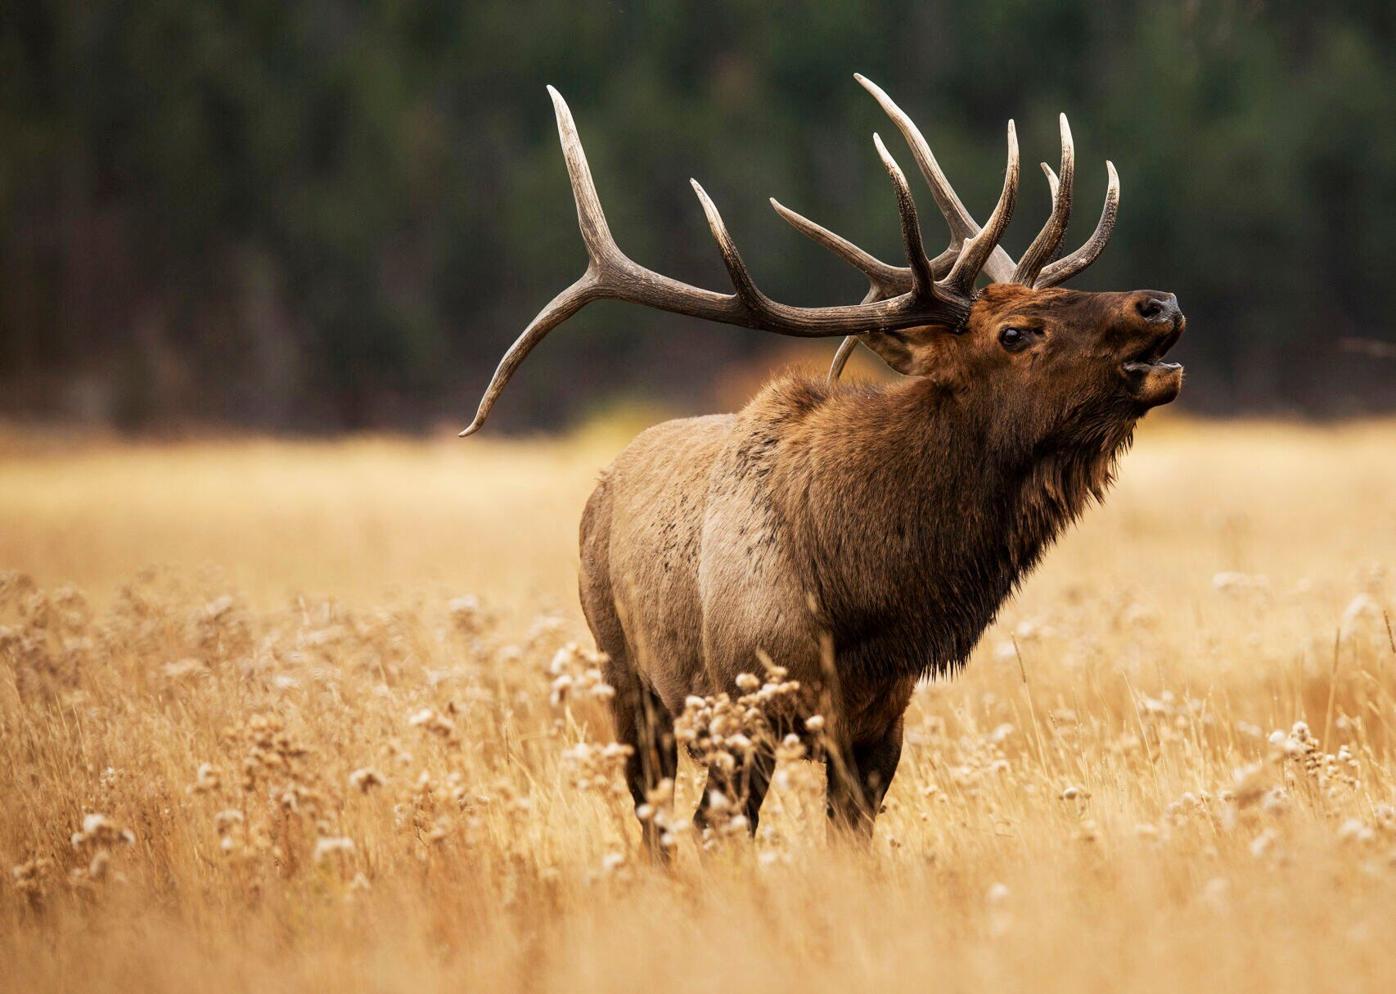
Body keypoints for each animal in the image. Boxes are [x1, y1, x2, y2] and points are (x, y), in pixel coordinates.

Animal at [461, 75, 1185, 855]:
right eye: (1015, 333)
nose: (1160, 302)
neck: (862, 597)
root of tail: (603, 485)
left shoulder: (879, 727)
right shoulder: (744, 709)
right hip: (627, 675)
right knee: (655, 819)